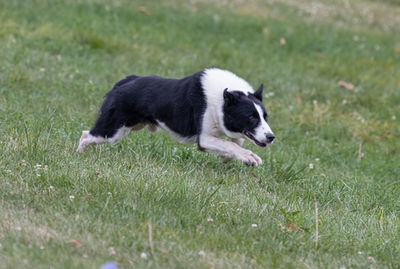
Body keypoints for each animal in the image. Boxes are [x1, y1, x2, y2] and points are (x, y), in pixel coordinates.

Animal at [76, 68, 274, 165]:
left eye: (265, 117)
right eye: (251, 117)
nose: (271, 137)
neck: (223, 98)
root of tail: (126, 81)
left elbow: (235, 142)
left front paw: (229, 158)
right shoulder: (204, 138)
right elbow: (230, 144)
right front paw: (249, 158)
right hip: (113, 130)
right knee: (86, 135)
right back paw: (79, 155)